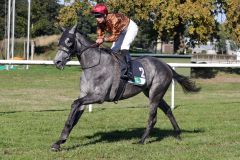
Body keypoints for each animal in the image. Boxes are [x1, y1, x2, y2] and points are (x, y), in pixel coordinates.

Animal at [51, 24, 201, 151]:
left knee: (152, 117)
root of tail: (167, 66)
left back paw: (142, 140)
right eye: (60, 41)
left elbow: (74, 104)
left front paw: (62, 138)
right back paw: (178, 134)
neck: (93, 65)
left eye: (69, 41)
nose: (57, 62)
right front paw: (59, 142)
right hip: (151, 92)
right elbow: (75, 115)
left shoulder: (98, 97)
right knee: (168, 110)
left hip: (155, 93)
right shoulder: (84, 95)